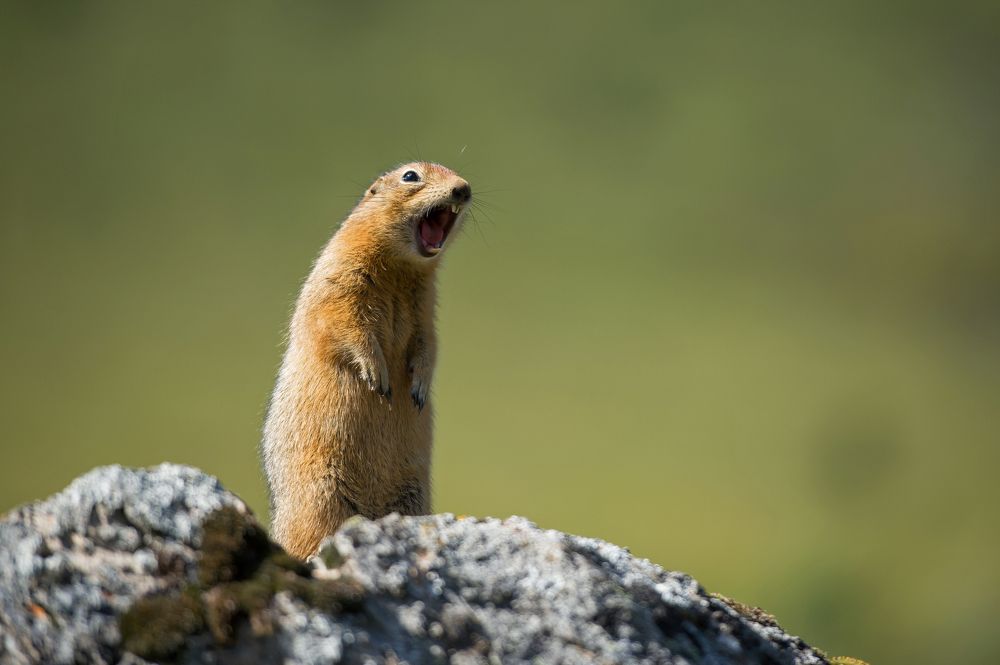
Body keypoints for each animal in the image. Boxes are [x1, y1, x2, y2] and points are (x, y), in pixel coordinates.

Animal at [261, 162, 471, 559]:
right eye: (410, 176)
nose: (463, 189)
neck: (401, 269)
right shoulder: (341, 277)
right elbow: (343, 322)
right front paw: (377, 376)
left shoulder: (426, 306)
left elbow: (428, 343)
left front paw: (418, 387)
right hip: (320, 494)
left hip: (412, 497)